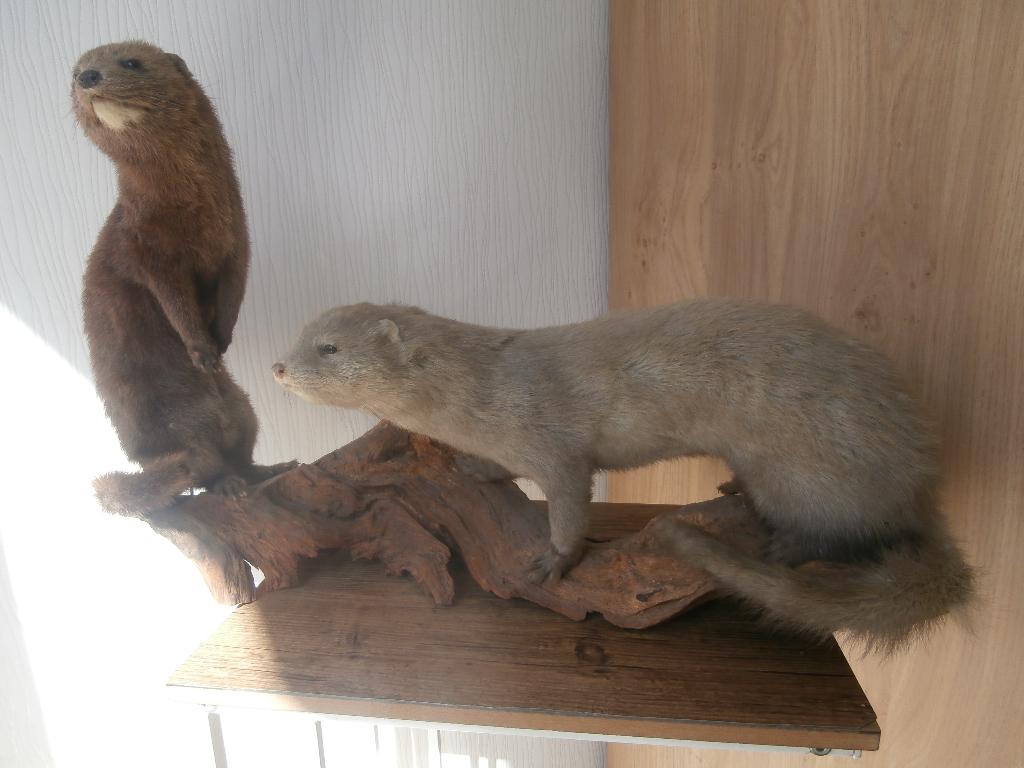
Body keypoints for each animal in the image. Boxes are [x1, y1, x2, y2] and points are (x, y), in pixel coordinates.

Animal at [72, 41, 293, 515]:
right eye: (76, 69)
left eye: (131, 62)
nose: (87, 77)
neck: (198, 216)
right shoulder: (145, 248)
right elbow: (174, 302)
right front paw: (201, 349)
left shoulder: (238, 240)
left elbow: (233, 291)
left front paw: (221, 342)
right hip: (180, 429)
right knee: (202, 471)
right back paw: (228, 485)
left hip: (244, 407)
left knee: (241, 453)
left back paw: (271, 467)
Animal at [274, 300, 974, 647]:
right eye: (300, 334)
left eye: (328, 347)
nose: (277, 366)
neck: (487, 391)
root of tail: (919, 482)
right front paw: (474, 466)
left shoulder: (553, 445)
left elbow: (568, 499)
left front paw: (552, 561)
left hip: (809, 472)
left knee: (836, 535)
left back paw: (781, 540)